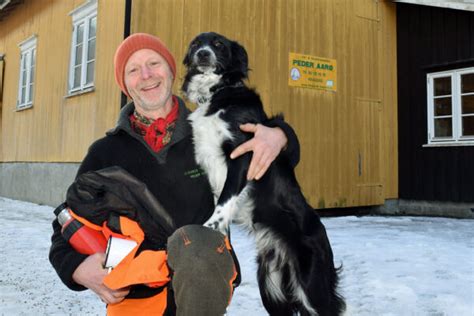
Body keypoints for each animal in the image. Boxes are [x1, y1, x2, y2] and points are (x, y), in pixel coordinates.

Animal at [182, 32, 344, 316]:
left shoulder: (245, 153)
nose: (202, 54)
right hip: (271, 287)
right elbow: (220, 201)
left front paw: (208, 228)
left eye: (218, 44)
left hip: (312, 287)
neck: (219, 92)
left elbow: (224, 201)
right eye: (195, 45)